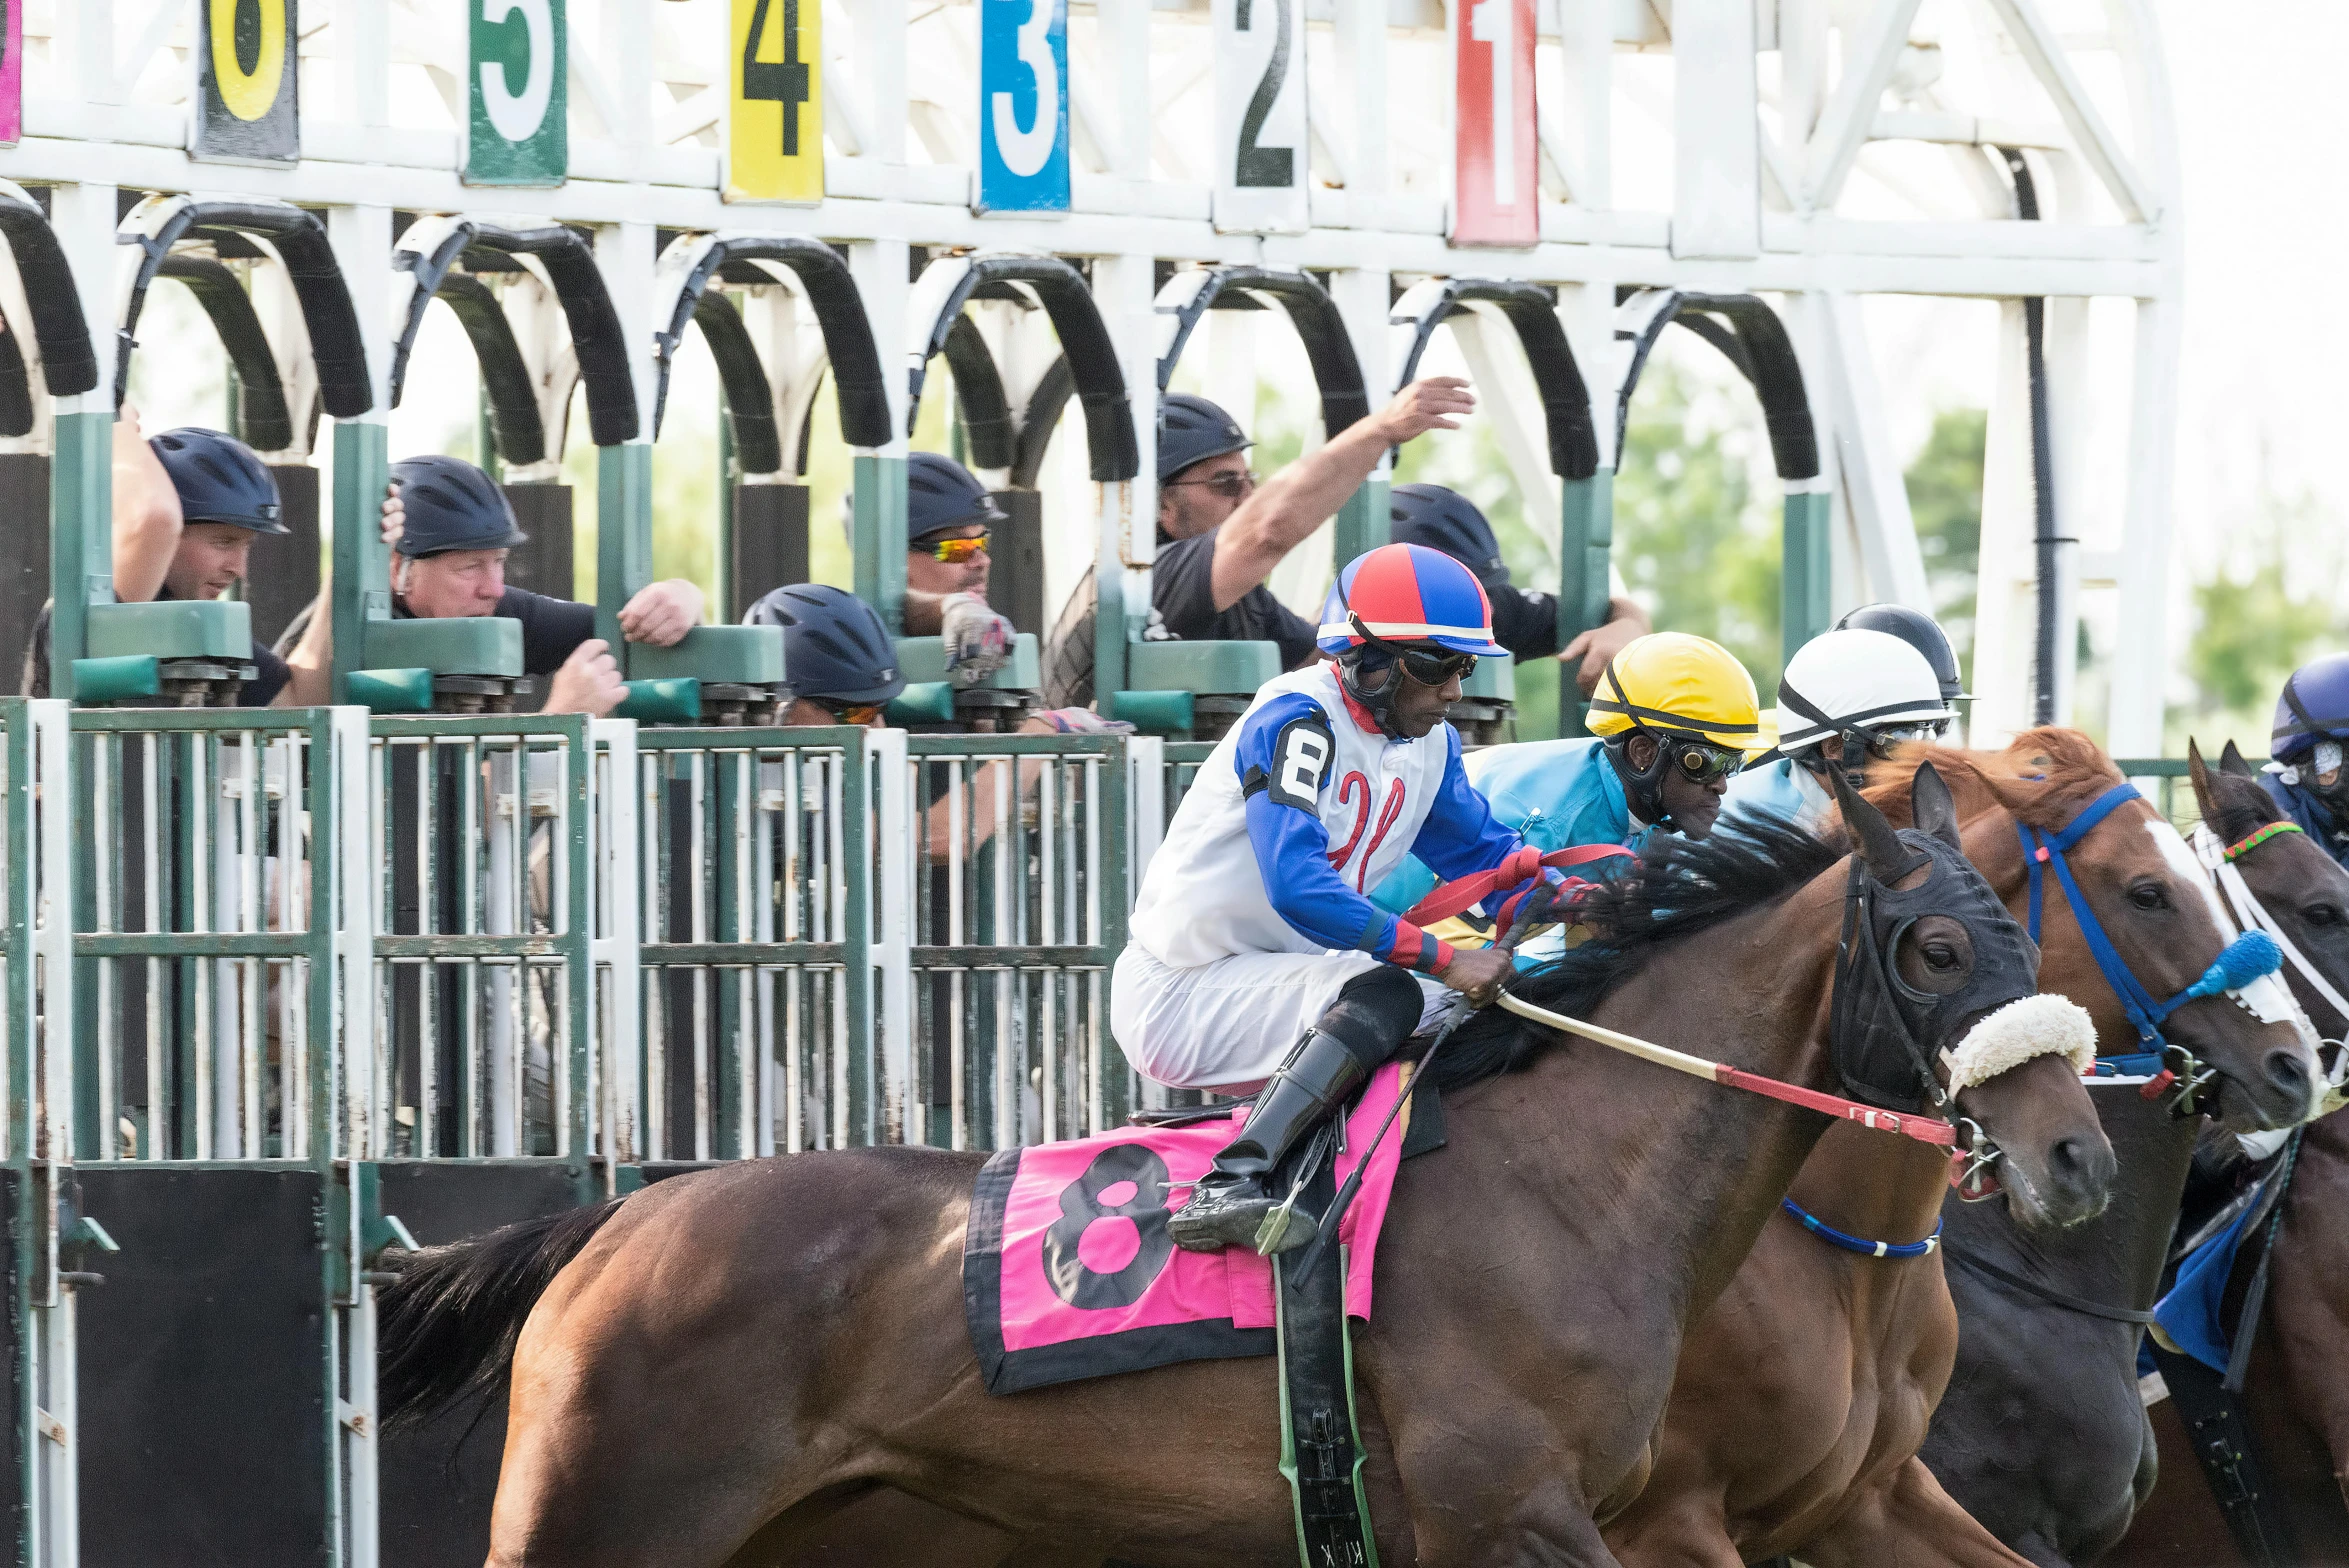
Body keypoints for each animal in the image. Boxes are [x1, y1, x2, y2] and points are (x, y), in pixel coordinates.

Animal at [380, 765, 2076, 1558]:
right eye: (1936, 949)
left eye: (2020, 932)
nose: (2075, 1156)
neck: (1578, 1180)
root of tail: (616, 1228)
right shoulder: (1522, 1515)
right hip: (599, 1516)